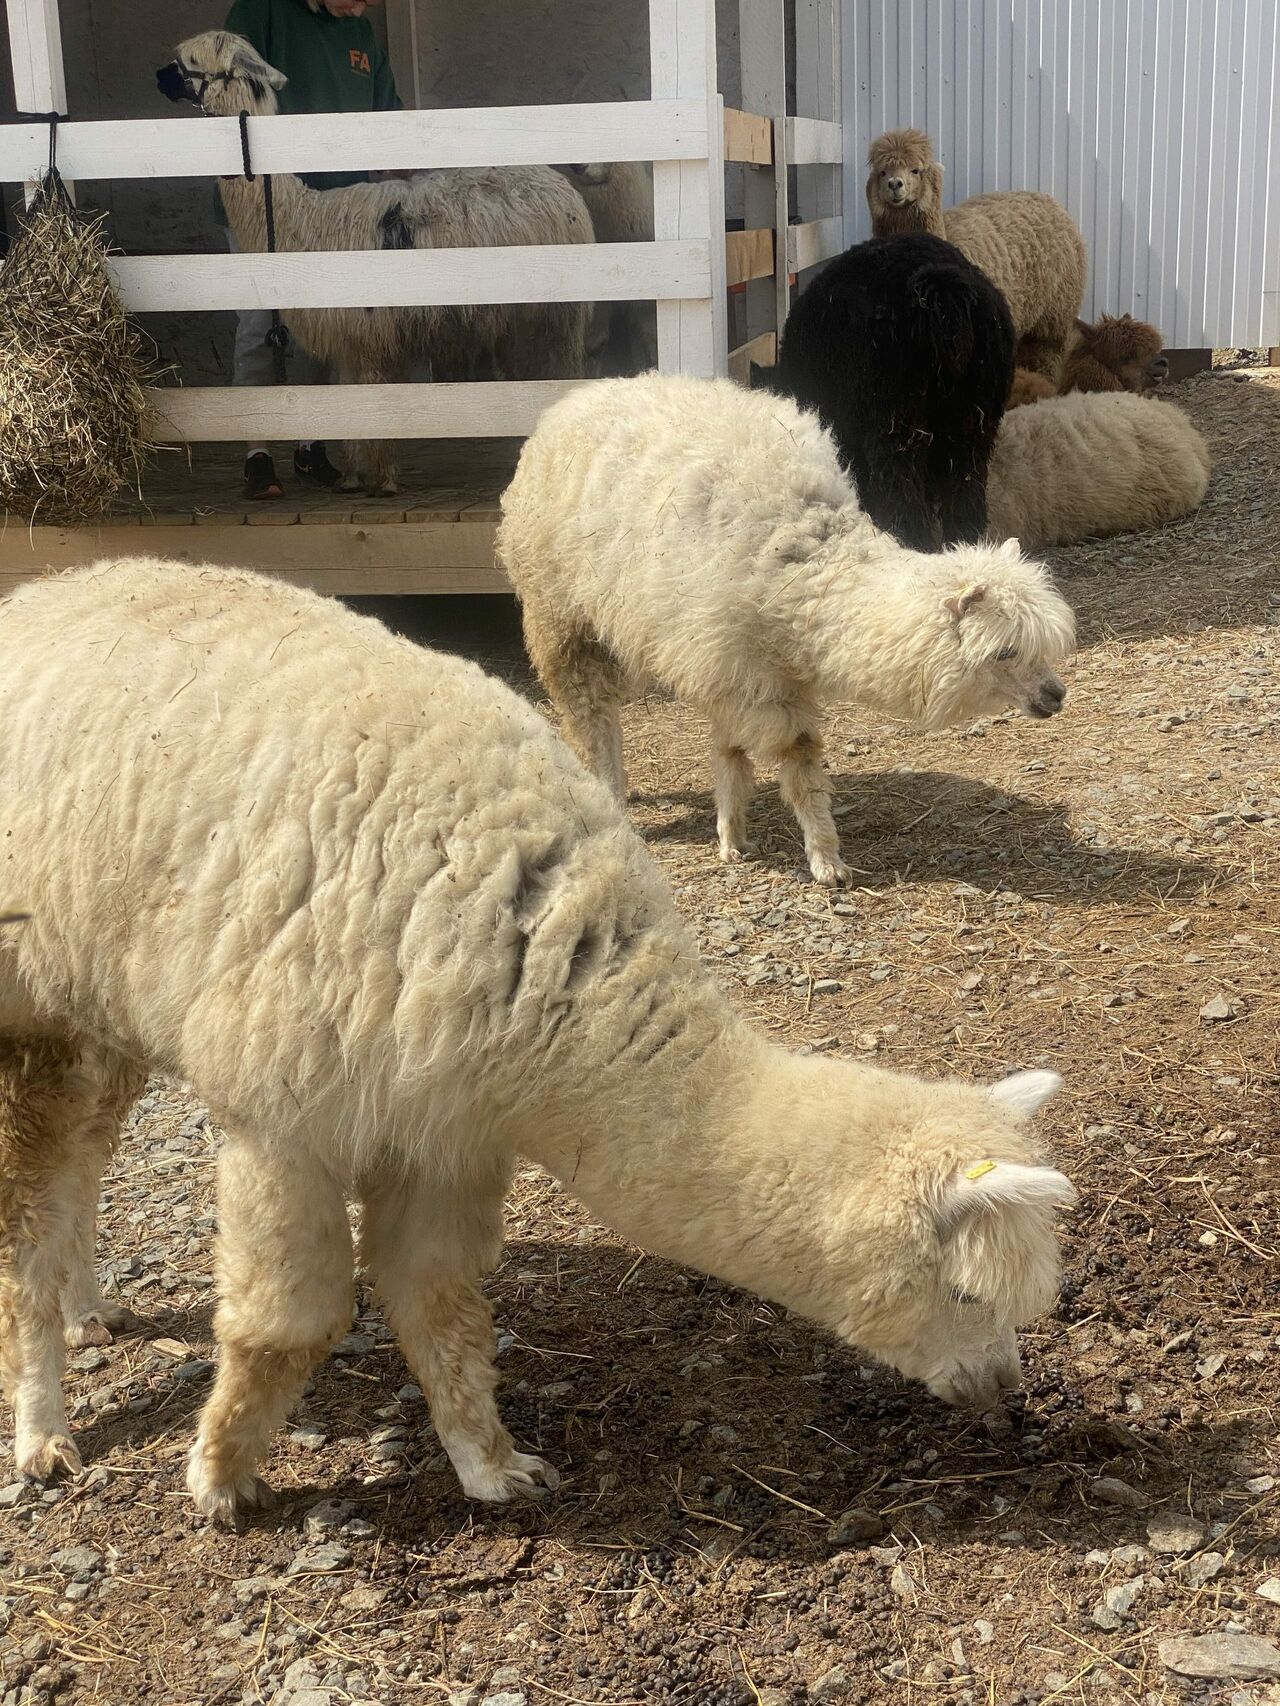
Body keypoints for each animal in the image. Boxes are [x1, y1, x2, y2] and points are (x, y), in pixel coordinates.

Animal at [0, 558, 1077, 1519]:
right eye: (967, 1293)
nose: (1001, 1392)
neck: (543, 991)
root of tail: (45, 590)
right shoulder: (287, 1114)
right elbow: (285, 1321)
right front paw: (220, 1478)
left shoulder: (445, 1130)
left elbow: (438, 1300)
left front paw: (490, 1466)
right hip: (29, 1005)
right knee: (29, 1213)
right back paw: (45, 1430)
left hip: (104, 996)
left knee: (83, 1162)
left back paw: (92, 1310)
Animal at [159, 33, 594, 495]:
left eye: (189, 59)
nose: (158, 76)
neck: (303, 223)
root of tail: (562, 188)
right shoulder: (352, 338)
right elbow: (351, 407)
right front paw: (352, 476)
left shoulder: (368, 336)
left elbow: (373, 408)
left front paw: (381, 478)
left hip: (550, 315)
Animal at [497, 373, 1076, 888]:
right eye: (1004, 652)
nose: (1056, 695)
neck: (806, 572)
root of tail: (577, 397)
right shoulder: (739, 666)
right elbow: (792, 759)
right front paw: (822, 860)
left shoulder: (744, 671)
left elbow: (739, 753)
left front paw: (738, 836)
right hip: (562, 619)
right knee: (592, 720)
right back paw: (612, 798)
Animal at [761, 233, 1015, 550]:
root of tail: (941, 292)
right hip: (972, 427)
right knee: (965, 498)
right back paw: (963, 547)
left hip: (896, 427)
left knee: (902, 496)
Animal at [866, 129, 1087, 381]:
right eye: (882, 172)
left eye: (916, 170)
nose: (895, 184)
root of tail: (1049, 200)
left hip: (1057, 308)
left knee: (1047, 350)